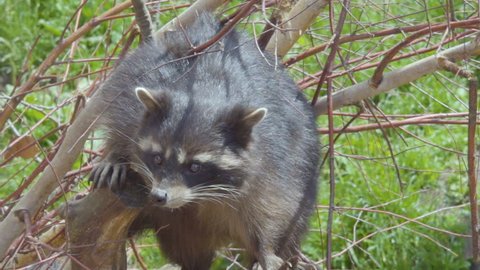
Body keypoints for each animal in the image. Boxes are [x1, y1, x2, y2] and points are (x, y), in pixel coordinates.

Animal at [92, 13, 320, 270]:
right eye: (158, 159)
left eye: (195, 167)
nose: (159, 196)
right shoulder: (138, 91)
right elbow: (120, 120)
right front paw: (115, 154)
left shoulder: (277, 157)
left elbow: (272, 205)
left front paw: (266, 247)